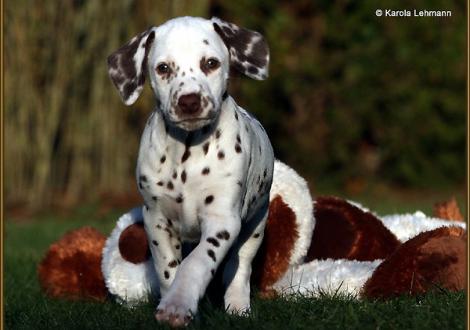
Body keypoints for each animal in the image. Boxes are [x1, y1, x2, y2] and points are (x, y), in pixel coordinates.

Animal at [108, 16, 274, 326]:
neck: (186, 153)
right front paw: (171, 299)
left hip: (256, 224)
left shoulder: (222, 221)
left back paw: (238, 305)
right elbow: (167, 268)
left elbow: (197, 262)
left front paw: (179, 303)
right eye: (163, 68)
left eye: (210, 63)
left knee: (240, 266)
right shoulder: (156, 219)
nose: (189, 101)